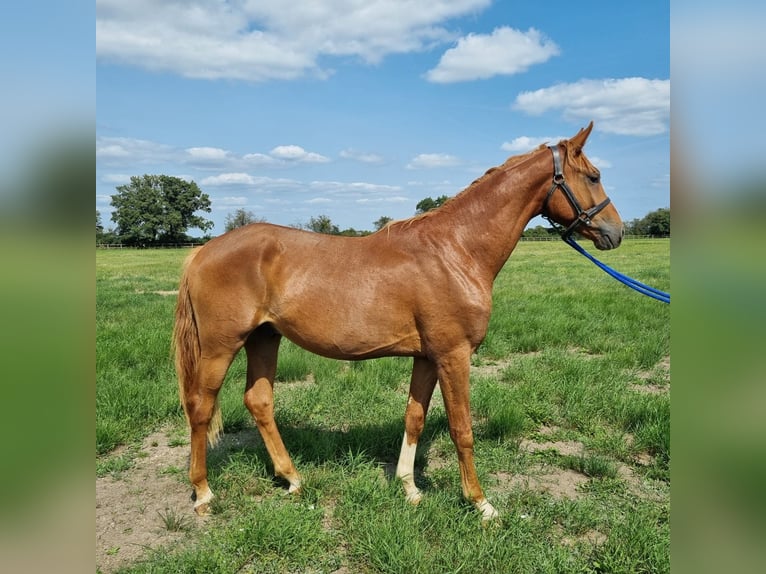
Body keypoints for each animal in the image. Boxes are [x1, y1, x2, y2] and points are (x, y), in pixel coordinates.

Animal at [172, 122, 624, 520]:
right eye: (594, 176)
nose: (616, 232)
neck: (456, 250)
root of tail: (203, 251)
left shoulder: (426, 357)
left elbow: (414, 418)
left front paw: (409, 488)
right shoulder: (454, 355)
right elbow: (462, 429)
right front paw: (481, 504)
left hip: (264, 338)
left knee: (259, 401)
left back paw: (293, 479)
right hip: (221, 345)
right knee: (199, 406)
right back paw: (203, 493)